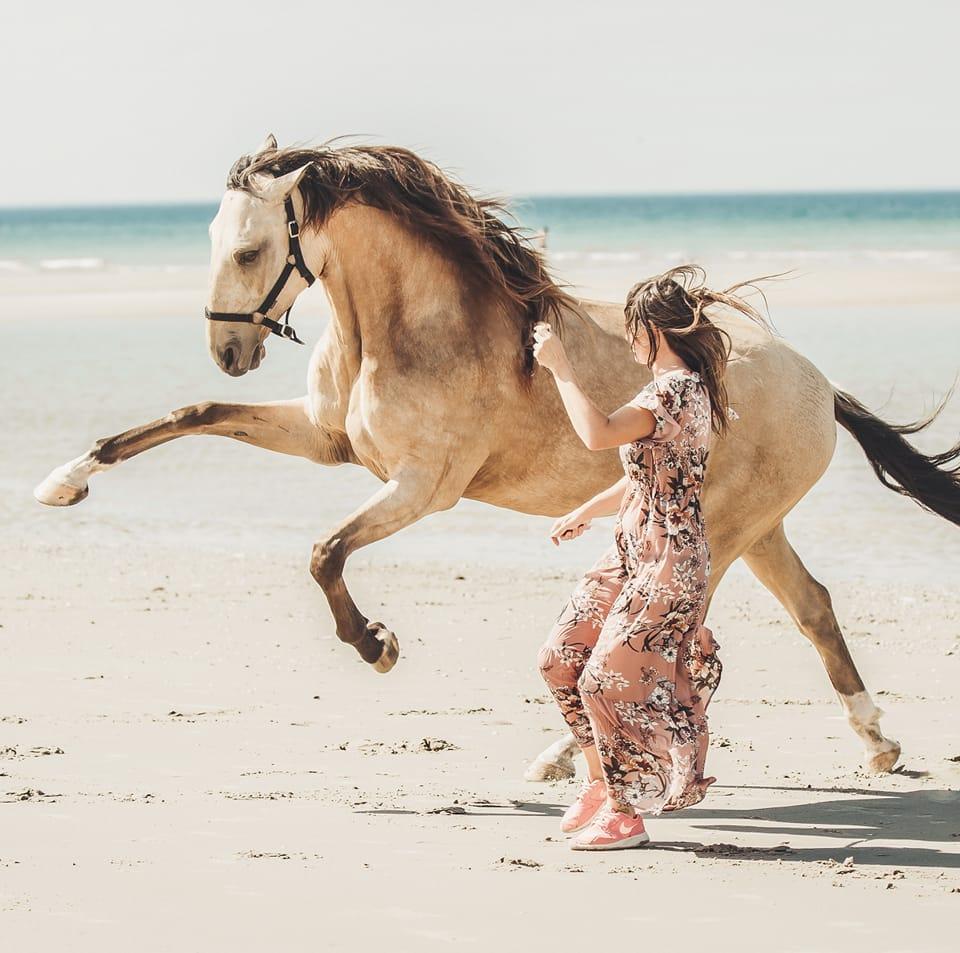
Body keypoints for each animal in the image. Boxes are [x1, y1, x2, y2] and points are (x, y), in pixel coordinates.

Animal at [34, 135, 960, 781]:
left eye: (251, 250)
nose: (228, 349)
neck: (406, 329)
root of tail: (819, 383)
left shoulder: (421, 487)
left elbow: (324, 552)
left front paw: (377, 646)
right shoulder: (327, 439)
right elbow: (191, 415)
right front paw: (64, 482)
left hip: (722, 533)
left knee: (676, 631)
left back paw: (560, 757)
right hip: (756, 529)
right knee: (814, 607)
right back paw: (877, 742)